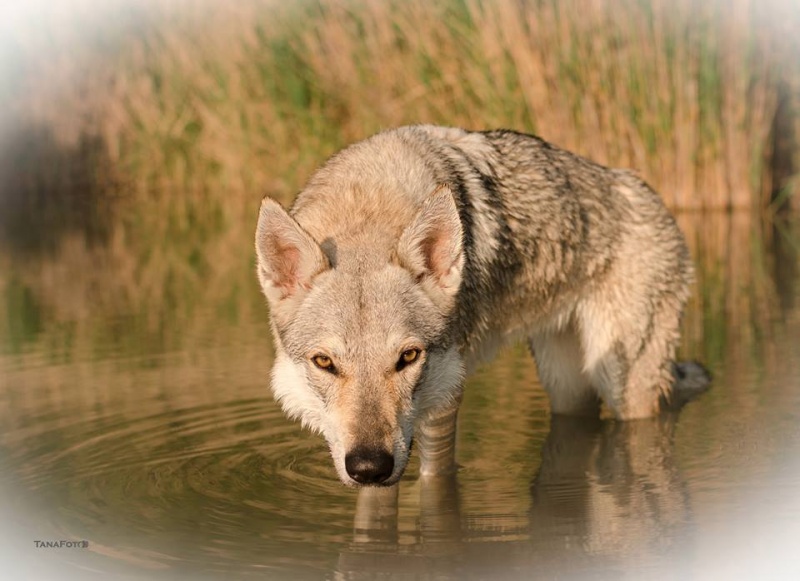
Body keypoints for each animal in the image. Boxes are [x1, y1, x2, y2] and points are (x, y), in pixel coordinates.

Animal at [253, 125, 708, 484]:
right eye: (324, 363)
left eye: (408, 357)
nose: (369, 467)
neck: (367, 203)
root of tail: (656, 199)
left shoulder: (444, 403)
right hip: (566, 386)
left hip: (624, 387)